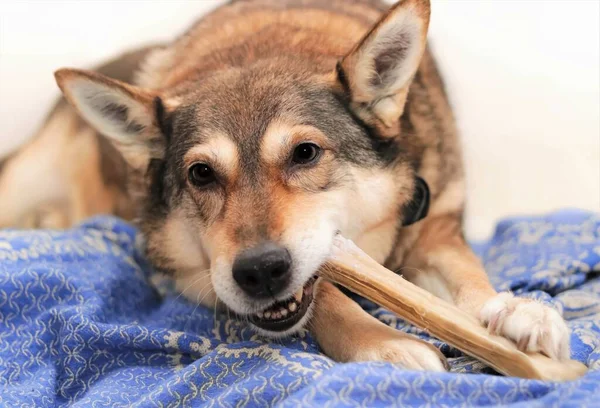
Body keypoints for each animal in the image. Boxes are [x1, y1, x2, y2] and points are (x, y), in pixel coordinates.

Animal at [1, 0, 572, 370]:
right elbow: (328, 300)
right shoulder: (191, 273)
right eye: (201, 173)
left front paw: (516, 313)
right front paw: (382, 342)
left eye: (305, 153)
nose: (259, 272)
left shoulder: (436, 231)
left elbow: (469, 278)